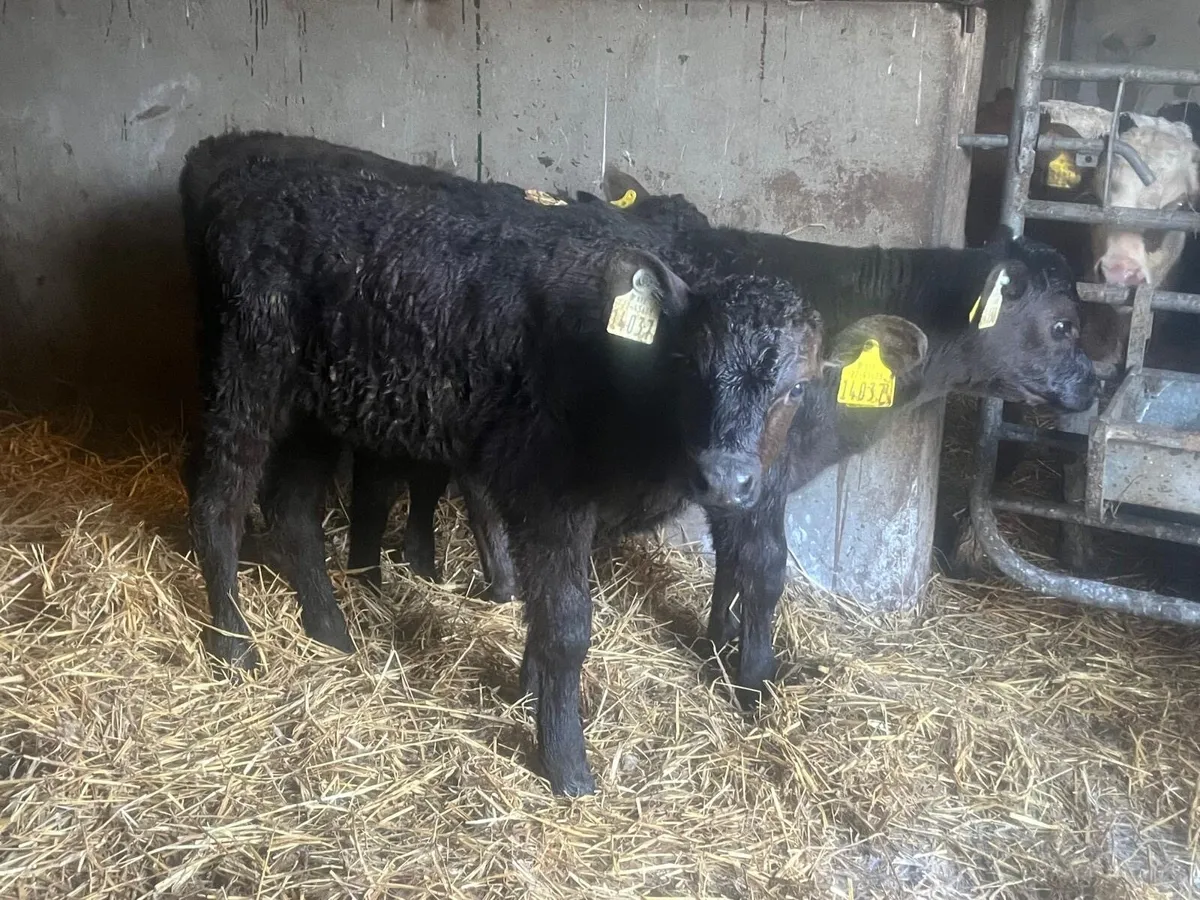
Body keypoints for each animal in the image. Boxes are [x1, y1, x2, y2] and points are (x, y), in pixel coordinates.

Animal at [181, 143, 865, 796]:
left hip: (315, 406)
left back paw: (329, 631)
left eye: (795, 389)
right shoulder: (548, 491)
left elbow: (547, 611)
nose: (725, 477)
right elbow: (566, 625)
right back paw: (234, 643)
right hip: (247, 372)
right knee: (218, 502)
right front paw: (565, 763)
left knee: (295, 510)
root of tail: (240, 174)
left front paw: (530, 693)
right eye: (689, 365)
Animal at [345, 166, 1097, 711]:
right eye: (1064, 324)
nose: (1095, 384)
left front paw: (720, 641)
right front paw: (756, 677)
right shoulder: (759, 477)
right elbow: (764, 570)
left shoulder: (742, 478)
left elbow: (732, 566)